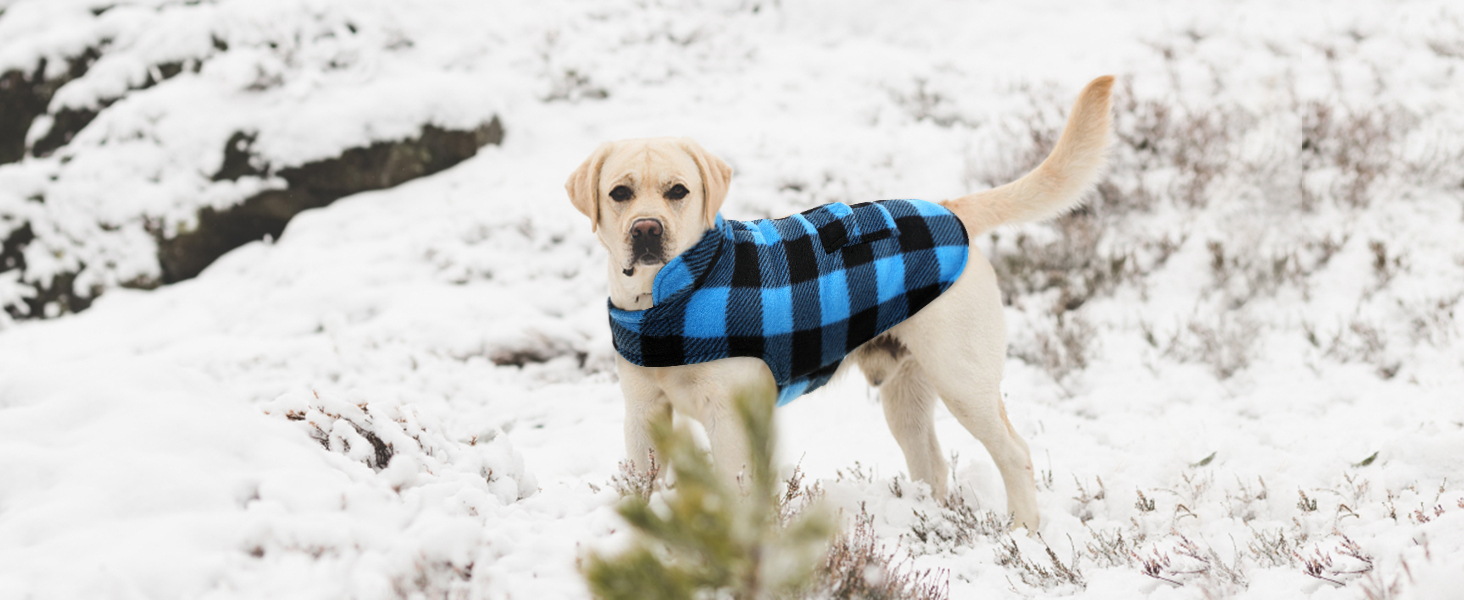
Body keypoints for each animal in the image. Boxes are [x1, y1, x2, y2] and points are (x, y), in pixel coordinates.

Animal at [565, 76, 1112, 529]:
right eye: (619, 192)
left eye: (678, 191)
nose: (647, 230)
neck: (668, 296)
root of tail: (950, 209)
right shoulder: (643, 414)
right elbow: (642, 485)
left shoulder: (730, 418)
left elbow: (737, 494)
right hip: (906, 398)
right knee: (932, 465)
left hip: (963, 381)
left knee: (1015, 453)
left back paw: (1024, 532)